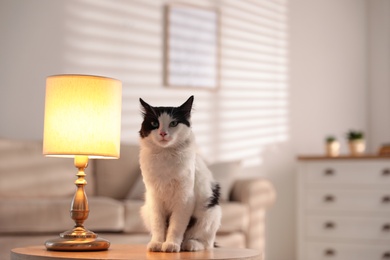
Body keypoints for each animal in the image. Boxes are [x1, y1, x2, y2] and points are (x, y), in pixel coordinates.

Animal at [139, 95, 221, 252]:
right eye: (154, 123)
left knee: (206, 244)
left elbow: (176, 226)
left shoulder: (184, 199)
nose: (163, 133)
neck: (165, 156)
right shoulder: (154, 198)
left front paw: (171, 245)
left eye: (173, 123)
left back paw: (189, 245)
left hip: (210, 213)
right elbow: (158, 225)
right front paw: (157, 243)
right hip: (146, 210)